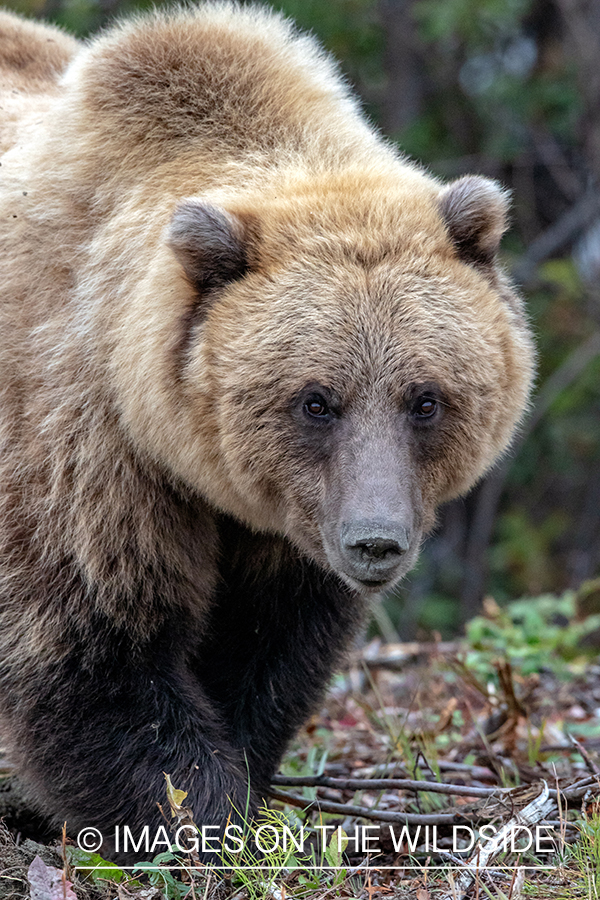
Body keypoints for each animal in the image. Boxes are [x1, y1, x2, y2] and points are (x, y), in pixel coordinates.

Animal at [0, 3, 536, 860]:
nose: (375, 542)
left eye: (425, 398)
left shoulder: (288, 528)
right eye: (316, 400)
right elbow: (95, 646)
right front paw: (197, 815)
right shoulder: (84, 444)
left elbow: (266, 646)